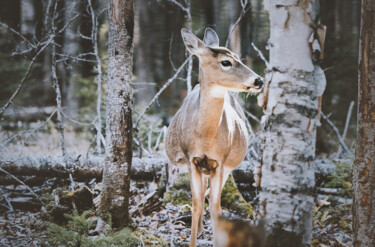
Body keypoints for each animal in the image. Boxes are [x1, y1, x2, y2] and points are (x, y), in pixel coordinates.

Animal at [164, 28, 264, 246]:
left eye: (238, 57)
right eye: (226, 62)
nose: (259, 80)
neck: (205, 137)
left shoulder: (220, 161)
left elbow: (216, 209)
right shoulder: (191, 158)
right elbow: (195, 205)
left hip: (227, 166)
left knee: (209, 196)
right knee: (203, 195)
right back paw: (201, 228)